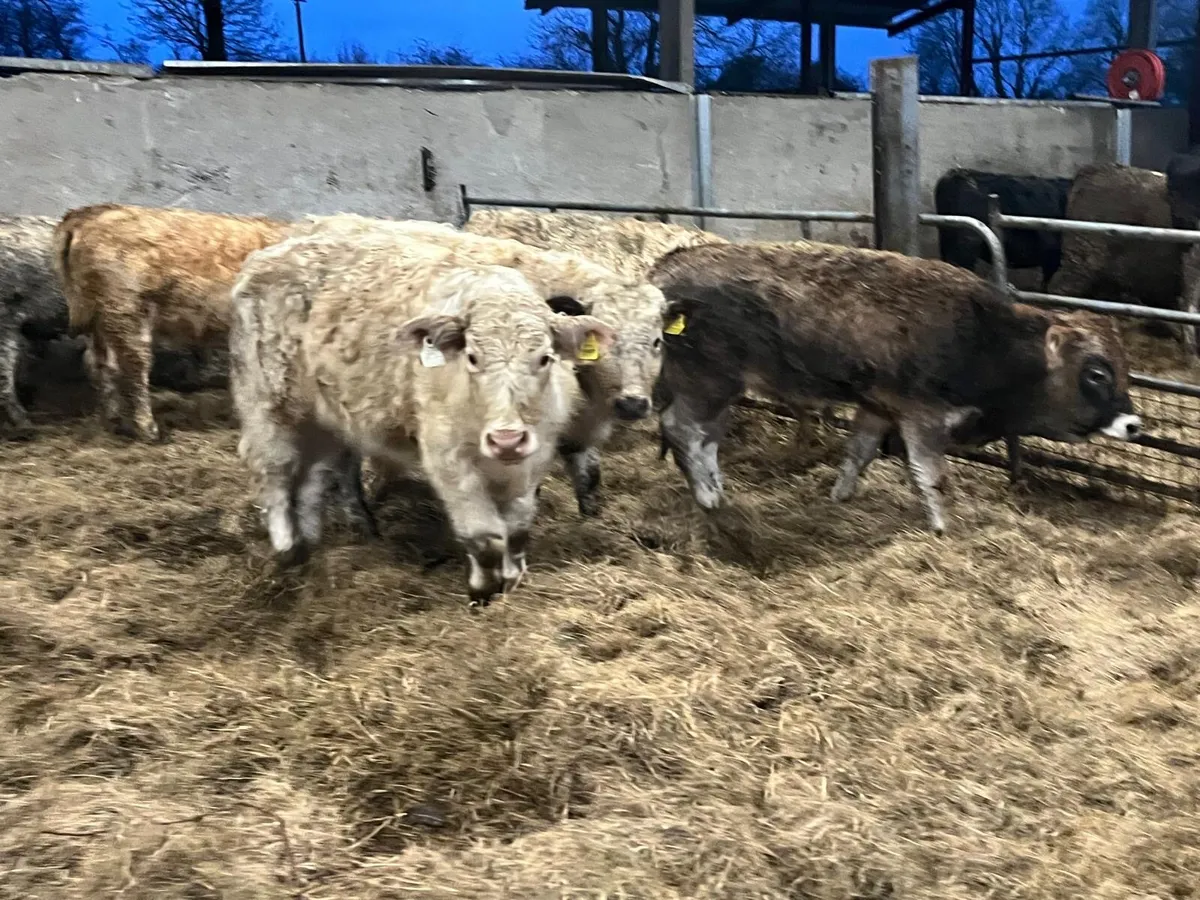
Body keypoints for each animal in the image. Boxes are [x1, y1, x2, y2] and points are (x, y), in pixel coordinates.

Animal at [52, 203, 291, 442]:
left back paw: (114, 422)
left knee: (100, 364)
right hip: (125, 310)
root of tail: (86, 212)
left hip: (98, 318)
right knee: (133, 368)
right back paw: (148, 429)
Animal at [229, 231, 615, 607]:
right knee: (273, 470)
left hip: (324, 421)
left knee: (313, 477)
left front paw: (513, 579)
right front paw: (483, 592)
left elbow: (517, 529)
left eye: (545, 358)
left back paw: (311, 543)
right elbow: (485, 536)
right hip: (267, 402)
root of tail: (266, 256)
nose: (506, 439)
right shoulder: (446, 455)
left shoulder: (533, 456)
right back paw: (287, 547)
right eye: (472, 357)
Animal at [648, 241, 1141, 535]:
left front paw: (840, 496)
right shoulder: (924, 418)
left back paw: (714, 489)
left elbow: (859, 453)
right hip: (706, 381)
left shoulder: (878, 407)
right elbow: (933, 478)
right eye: (1096, 372)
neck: (986, 339)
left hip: (717, 391)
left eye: (1125, 367)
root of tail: (669, 264)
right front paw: (943, 529)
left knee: (707, 440)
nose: (1134, 424)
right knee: (684, 430)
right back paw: (708, 497)